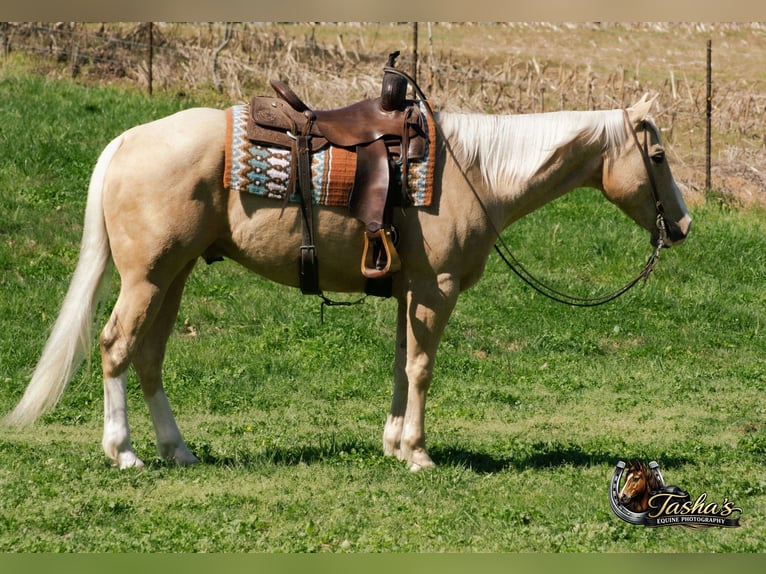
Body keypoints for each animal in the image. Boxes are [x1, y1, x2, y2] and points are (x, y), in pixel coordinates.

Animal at [4, 93, 691, 471]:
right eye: (657, 157)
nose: (683, 224)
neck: (474, 174)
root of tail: (126, 140)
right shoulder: (435, 290)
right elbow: (421, 368)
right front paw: (417, 452)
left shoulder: (409, 292)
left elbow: (400, 365)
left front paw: (392, 444)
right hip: (146, 278)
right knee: (116, 347)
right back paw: (123, 450)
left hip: (172, 276)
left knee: (148, 356)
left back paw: (178, 449)